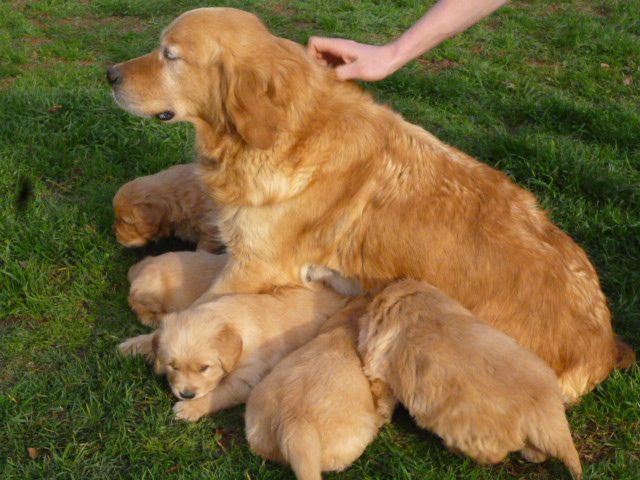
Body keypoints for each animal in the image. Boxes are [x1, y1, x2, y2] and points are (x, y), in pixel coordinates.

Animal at [117, 284, 348, 420]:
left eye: (204, 368)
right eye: (172, 366)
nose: (186, 394)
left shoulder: (247, 379)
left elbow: (218, 394)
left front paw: (190, 409)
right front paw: (134, 345)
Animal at [358, 280, 584, 478]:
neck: (406, 297)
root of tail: (546, 412)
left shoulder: (378, 366)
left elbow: (383, 399)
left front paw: (381, 418)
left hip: (477, 436)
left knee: (496, 454)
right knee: (536, 453)